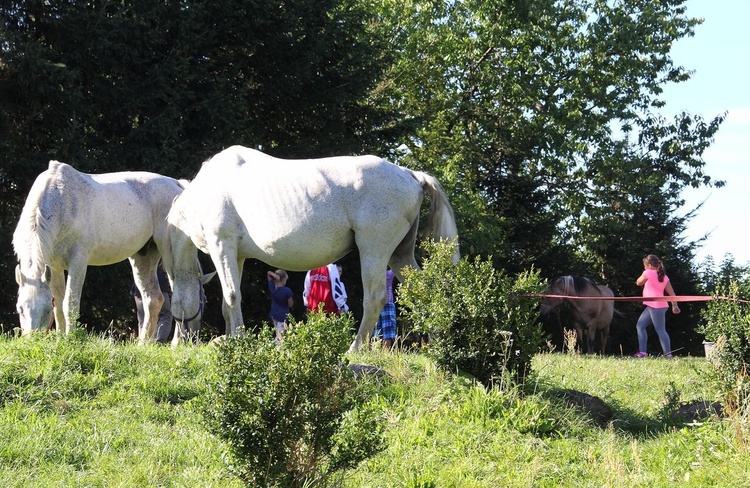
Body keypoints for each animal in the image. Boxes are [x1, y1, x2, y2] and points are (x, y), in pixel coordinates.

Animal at [13, 161, 191, 344]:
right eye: (20, 309)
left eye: (46, 310)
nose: (31, 340)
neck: (61, 203)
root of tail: (177, 184)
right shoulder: (54, 267)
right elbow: (60, 303)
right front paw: (60, 338)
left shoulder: (78, 263)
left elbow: (69, 302)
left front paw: (70, 338)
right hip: (144, 257)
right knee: (153, 299)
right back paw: (142, 344)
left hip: (170, 254)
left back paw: (176, 343)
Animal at [164, 145, 458, 350]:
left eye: (175, 303)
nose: (178, 342)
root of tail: (410, 174)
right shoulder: (235, 255)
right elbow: (230, 301)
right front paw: (231, 338)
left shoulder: (221, 246)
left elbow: (231, 295)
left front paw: (236, 340)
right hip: (399, 255)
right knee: (427, 293)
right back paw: (437, 346)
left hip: (374, 251)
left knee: (375, 297)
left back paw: (354, 349)